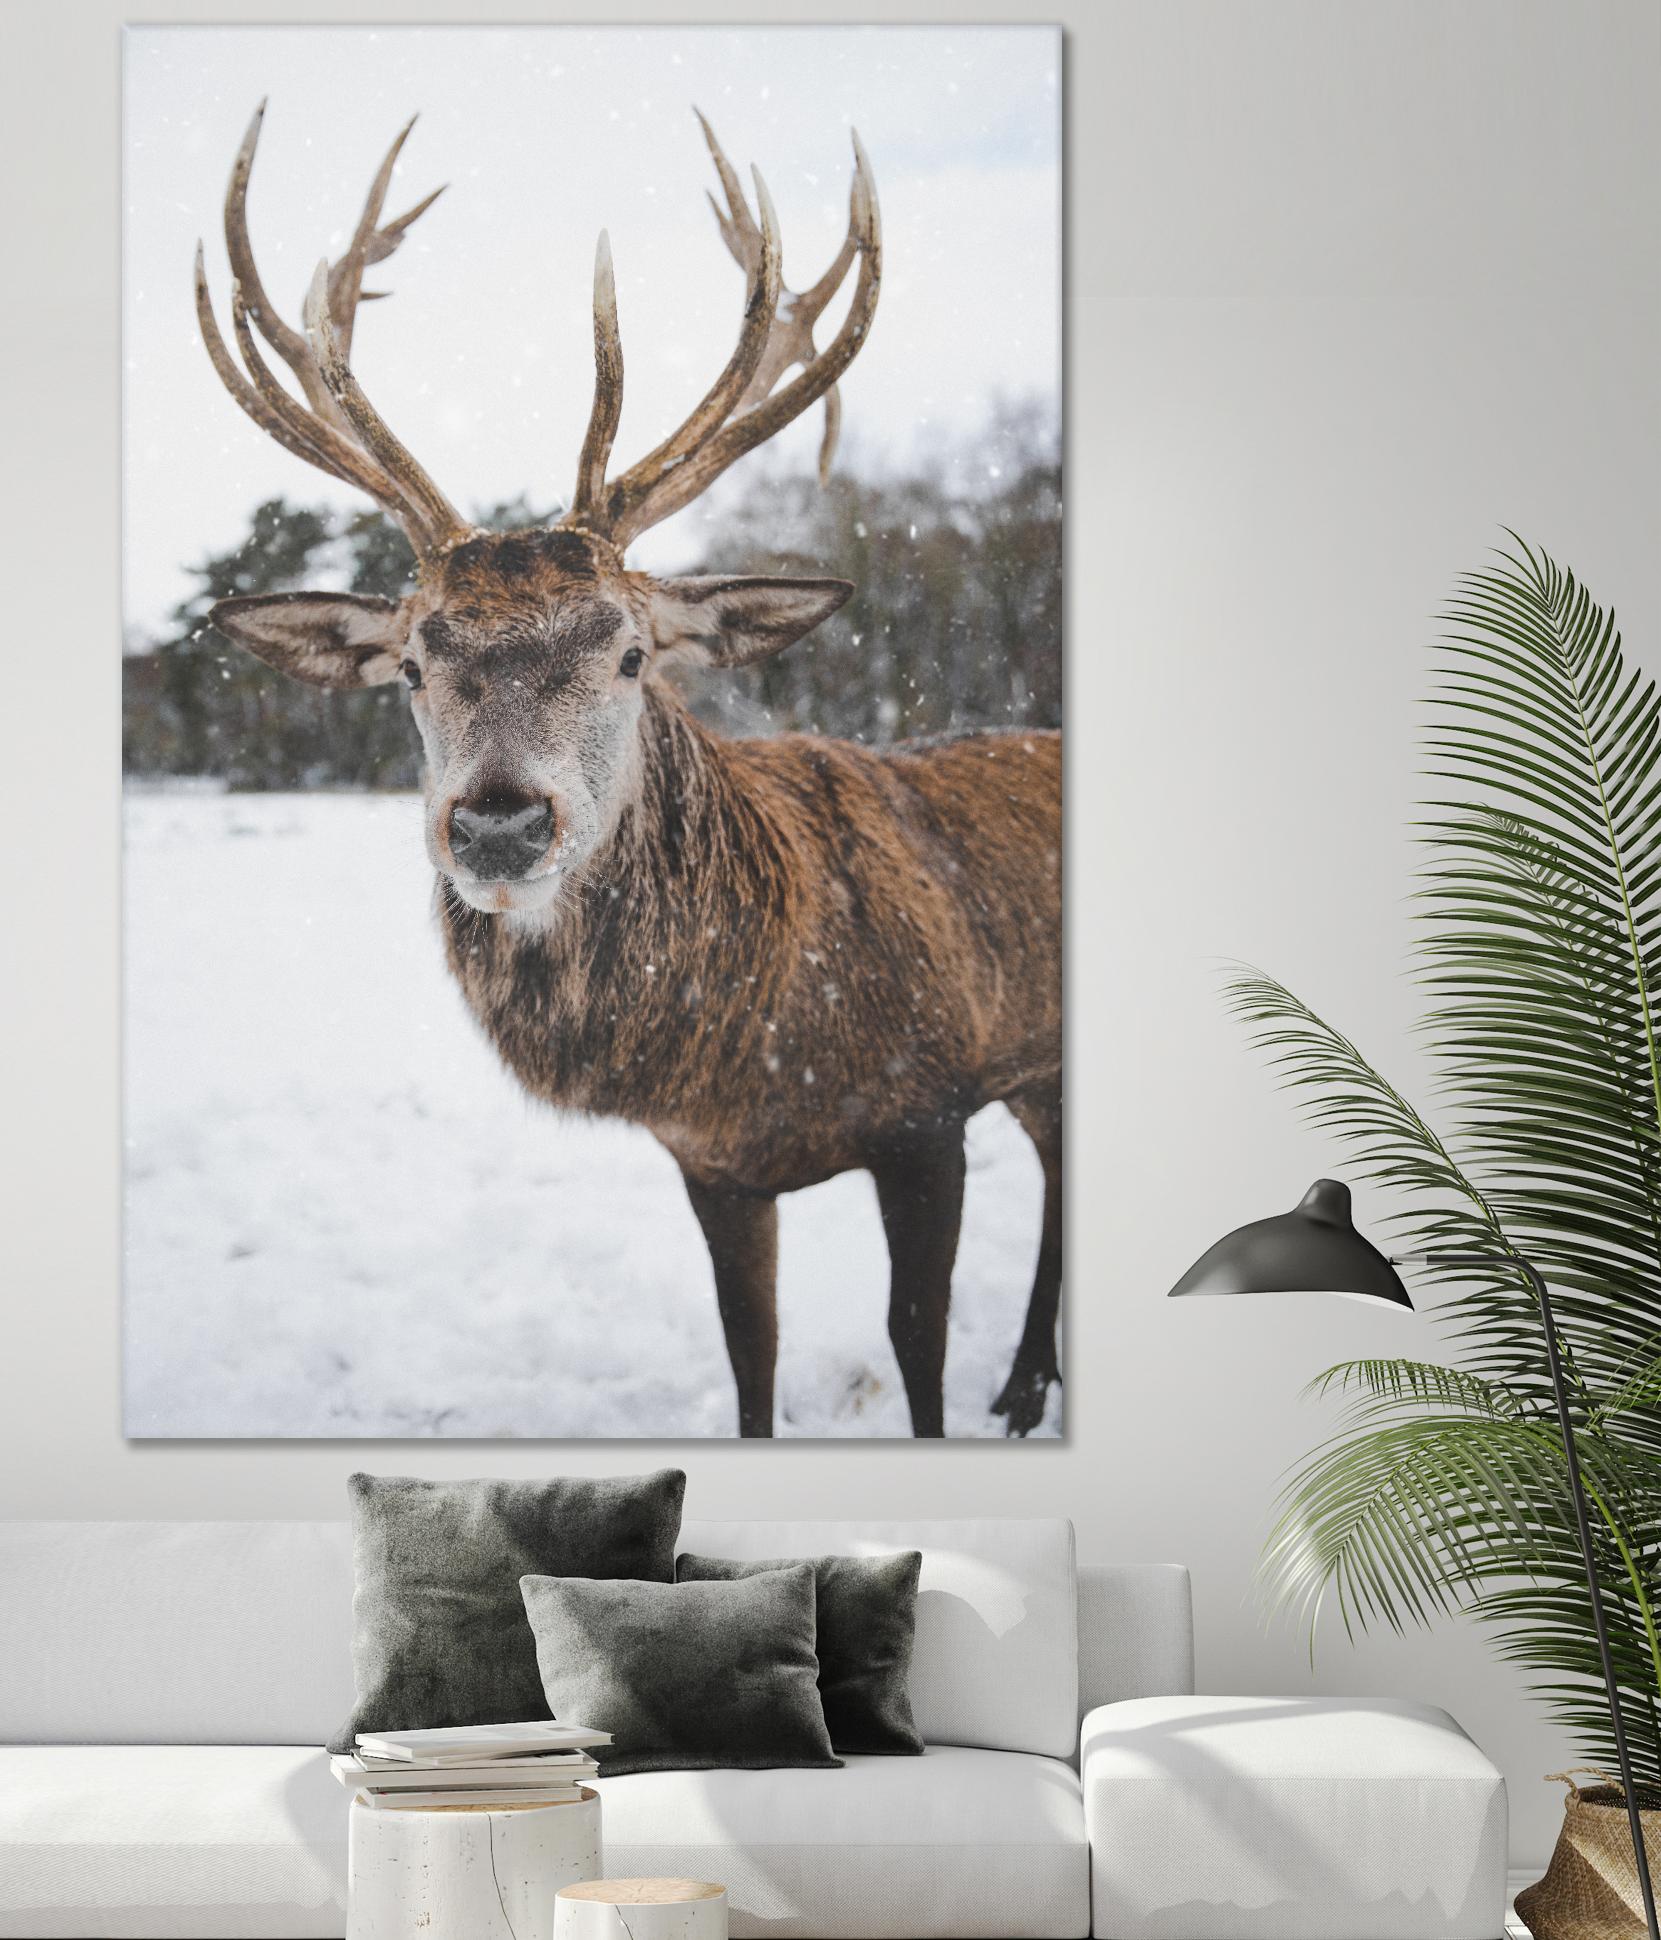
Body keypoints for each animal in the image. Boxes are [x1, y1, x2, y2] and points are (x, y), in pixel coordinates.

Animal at [194, 103, 1062, 1437]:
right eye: (410, 663)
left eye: (631, 650)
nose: (498, 825)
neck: (761, 1049)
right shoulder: (711, 1164)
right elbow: (749, 1353)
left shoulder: (929, 1108)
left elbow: (915, 1348)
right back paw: (1023, 1381)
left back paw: (1018, 1387)